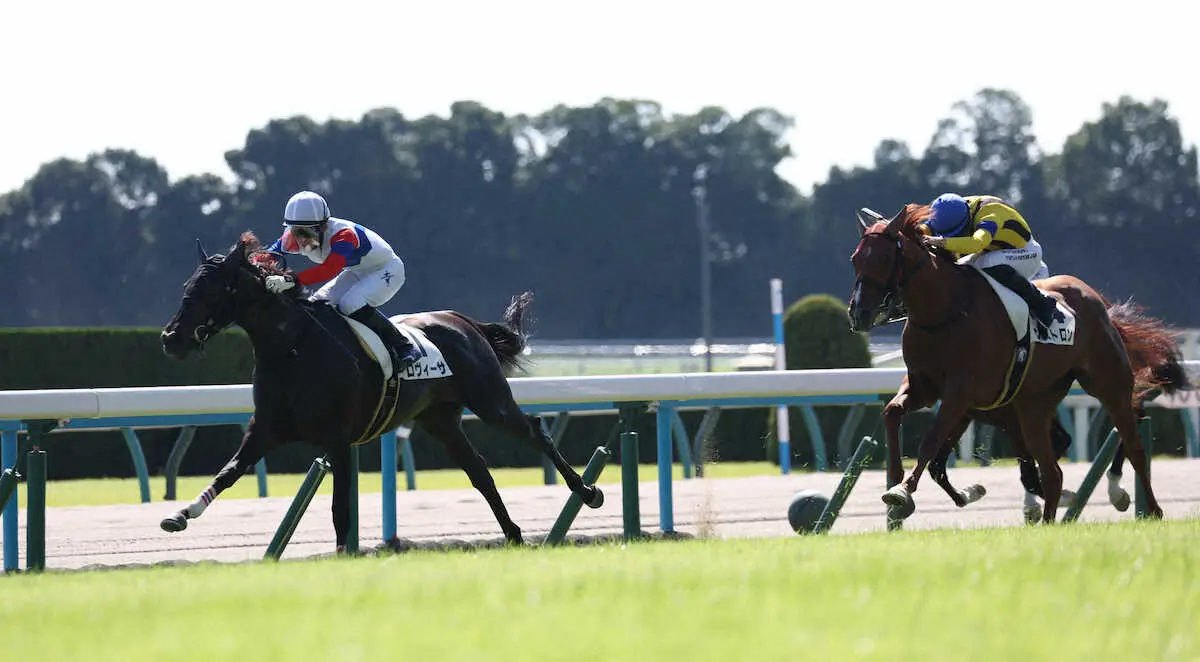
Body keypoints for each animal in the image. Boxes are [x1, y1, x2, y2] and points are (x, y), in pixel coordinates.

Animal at [158, 230, 604, 551]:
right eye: (187, 286)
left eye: (213, 290)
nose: (171, 338)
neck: (292, 348)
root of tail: (463, 321)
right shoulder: (265, 429)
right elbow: (230, 471)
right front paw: (182, 514)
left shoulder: (337, 439)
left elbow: (340, 505)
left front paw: (343, 553)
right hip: (441, 420)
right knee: (480, 472)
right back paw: (512, 534)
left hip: (490, 401)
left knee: (535, 432)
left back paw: (587, 491)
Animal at [849, 201, 1185, 522]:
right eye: (855, 259)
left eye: (882, 259)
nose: (858, 313)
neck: (946, 311)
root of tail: (1099, 302)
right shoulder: (925, 387)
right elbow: (892, 413)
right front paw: (897, 478)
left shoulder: (961, 392)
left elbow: (930, 442)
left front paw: (902, 492)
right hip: (1034, 405)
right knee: (1052, 472)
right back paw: (1049, 520)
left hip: (1109, 385)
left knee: (1134, 446)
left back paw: (1147, 507)